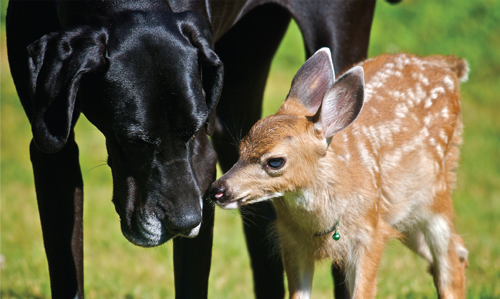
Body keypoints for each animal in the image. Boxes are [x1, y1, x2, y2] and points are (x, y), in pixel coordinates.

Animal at [6, 1, 378, 298]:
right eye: (134, 140)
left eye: (191, 131)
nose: (186, 223)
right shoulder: (51, 149)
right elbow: (66, 264)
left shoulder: (201, 157)